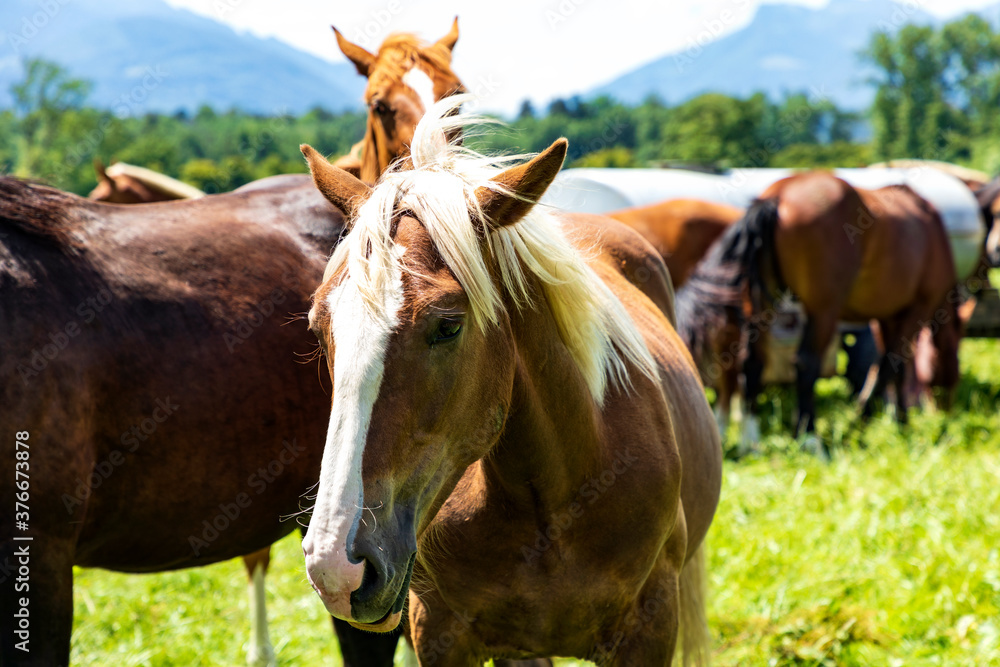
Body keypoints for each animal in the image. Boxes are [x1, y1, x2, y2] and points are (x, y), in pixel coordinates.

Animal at [294, 99, 722, 665]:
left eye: (448, 325)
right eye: (319, 328)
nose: (336, 565)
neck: (553, 494)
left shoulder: (650, 629)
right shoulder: (440, 631)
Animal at [677, 170, 960, 453]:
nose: (946, 407)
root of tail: (778, 196)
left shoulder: (888, 316)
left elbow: (895, 367)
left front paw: (901, 422)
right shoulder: (918, 308)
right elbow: (891, 365)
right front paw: (863, 423)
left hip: (763, 306)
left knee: (752, 363)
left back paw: (751, 441)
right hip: (823, 312)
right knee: (806, 364)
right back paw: (810, 439)